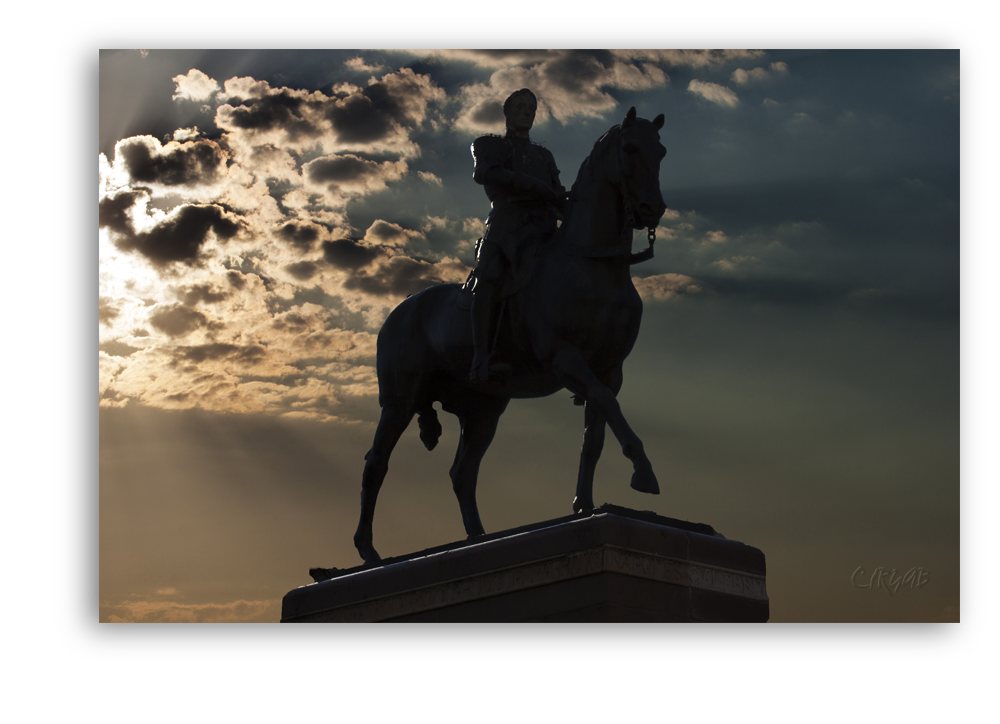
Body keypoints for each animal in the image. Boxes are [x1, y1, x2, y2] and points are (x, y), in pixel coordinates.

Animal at [354, 106, 672, 564]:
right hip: (399, 401)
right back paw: (367, 549)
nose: (652, 208)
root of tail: (400, 310)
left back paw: (478, 539)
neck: (593, 266)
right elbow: (606, 406)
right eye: (630, 148)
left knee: (462, 473)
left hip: (483, 411)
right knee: (376, 462)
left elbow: (595, 432)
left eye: (660, 151)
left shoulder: (610, 370)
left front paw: (584, 506)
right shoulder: (566, 360)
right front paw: (643, 472)